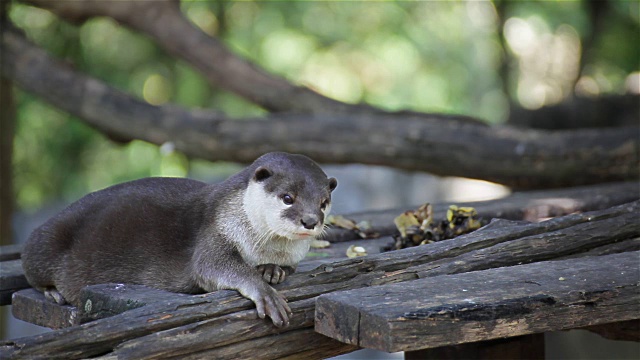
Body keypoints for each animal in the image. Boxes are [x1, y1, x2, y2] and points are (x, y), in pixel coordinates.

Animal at [22, 152, 338, 326]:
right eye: (288, 198)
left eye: (323, 202)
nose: (311, 221)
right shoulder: (215, 231)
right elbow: (213, 267)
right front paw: (266, 292)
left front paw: (272, 271)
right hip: (44, 241)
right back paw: (53, 292)